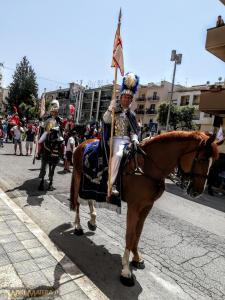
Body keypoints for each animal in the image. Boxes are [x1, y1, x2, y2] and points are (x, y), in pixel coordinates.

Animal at [70, 131, 218, 286]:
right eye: (202, 159)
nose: (197, 192)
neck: (148, 167)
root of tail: (82, 143)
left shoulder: (147, 206)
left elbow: (138, 232)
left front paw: (136, 258)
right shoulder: (134, 206)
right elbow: (130, 235)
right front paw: (126, 271)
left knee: (89, 199)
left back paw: (92, 220)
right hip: (79, 178)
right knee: (78, 203)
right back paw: (78, 227)